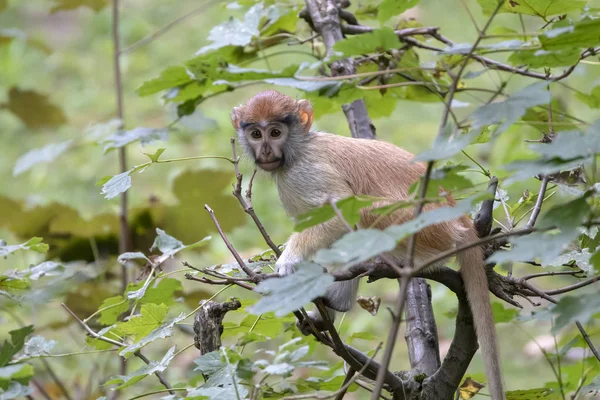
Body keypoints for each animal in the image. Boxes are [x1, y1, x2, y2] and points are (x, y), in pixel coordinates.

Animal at [232, 90, 504, 400]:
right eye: (256, 134)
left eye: (276, 132)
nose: (265, 151)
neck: (299, 149)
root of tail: (462, 222)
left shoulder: (306, 173)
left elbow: (339, 215)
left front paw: (289, 263)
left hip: (423, 228)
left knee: (362, 212)